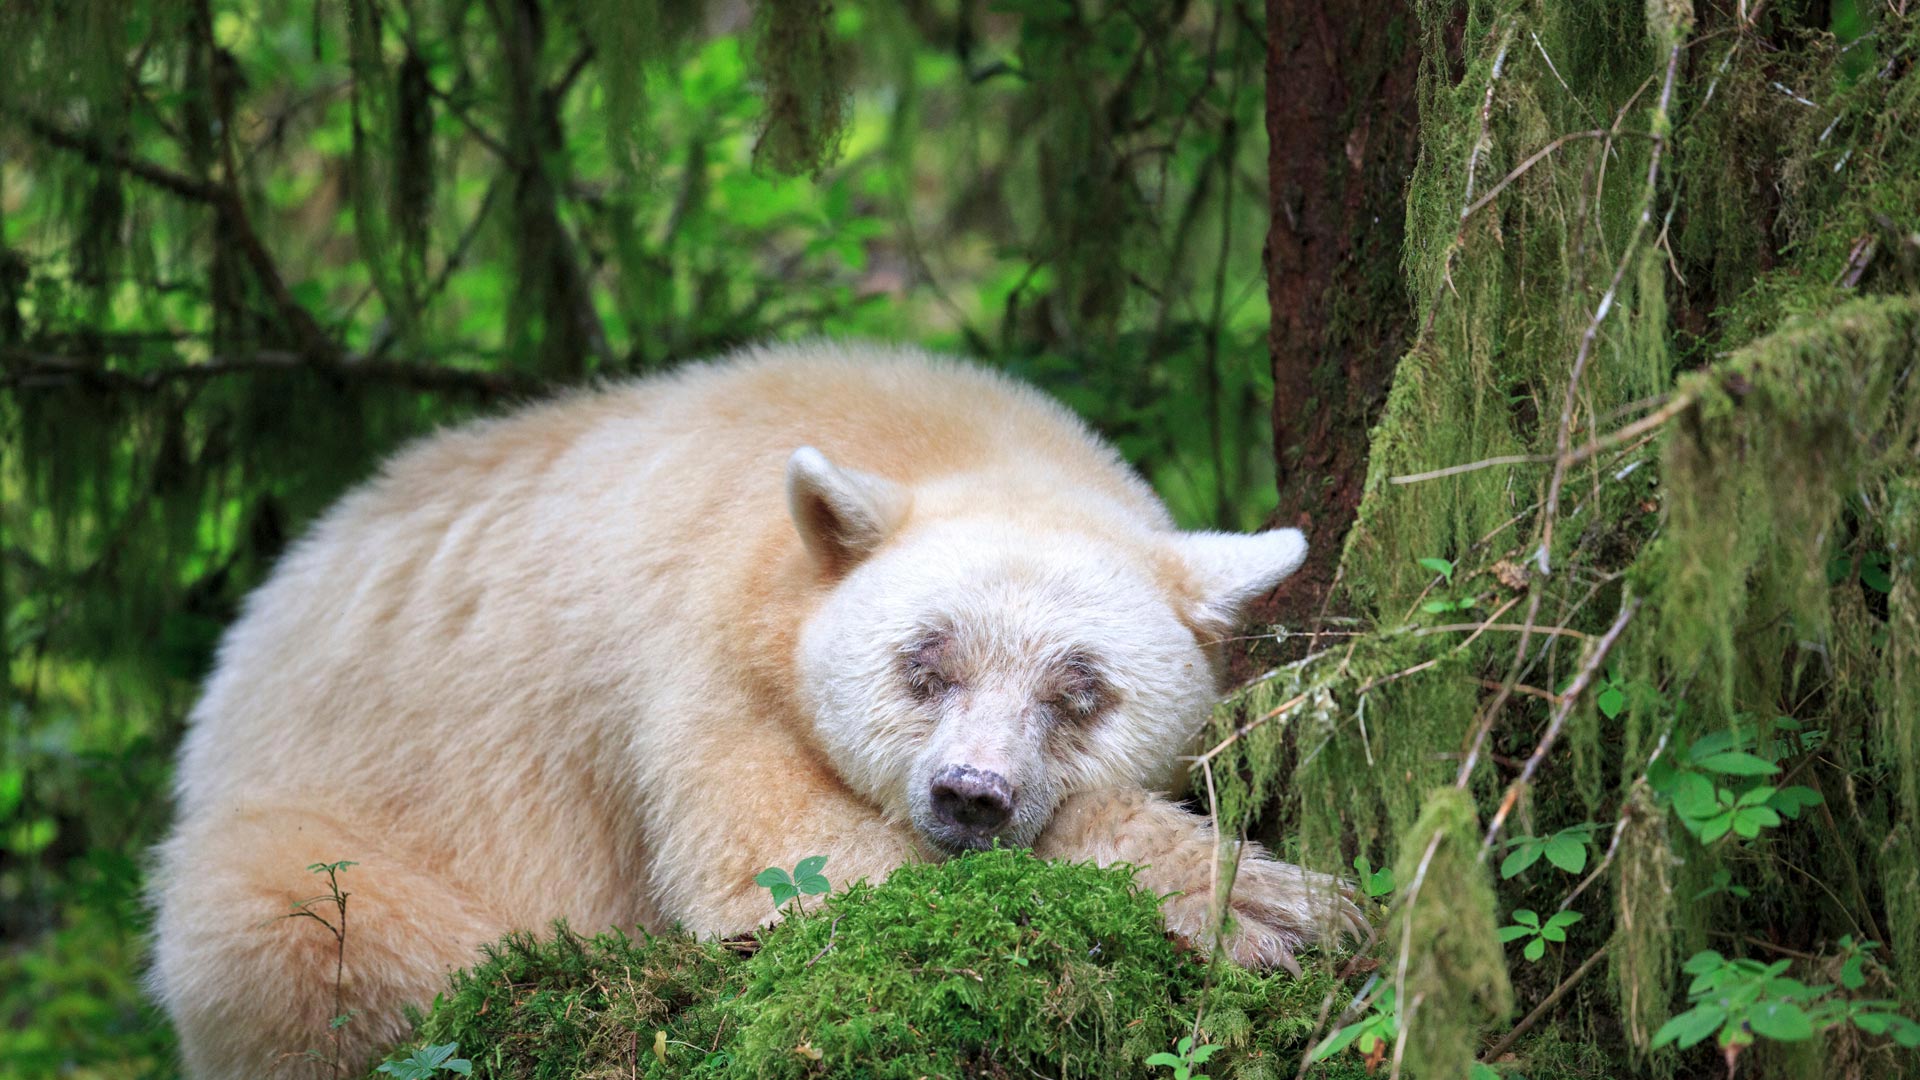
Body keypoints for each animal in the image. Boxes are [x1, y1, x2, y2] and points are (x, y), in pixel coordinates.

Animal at [149, 342, 1359, 1068]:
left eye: (1081, 690)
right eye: (925, 663)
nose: (971, 795)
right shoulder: (697, 656)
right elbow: (786, 866)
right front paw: (1259, 905)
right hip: (327, 820)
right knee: (287, 924)